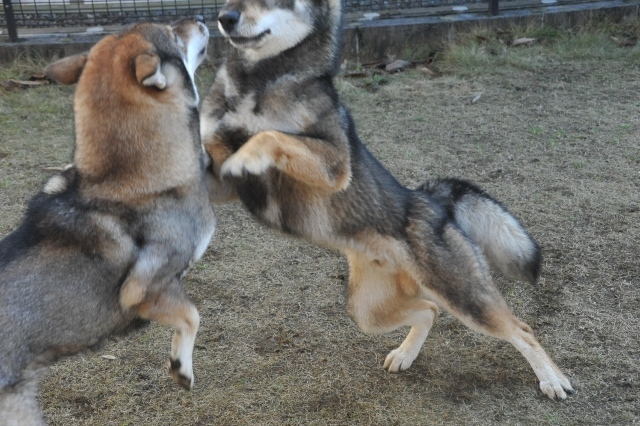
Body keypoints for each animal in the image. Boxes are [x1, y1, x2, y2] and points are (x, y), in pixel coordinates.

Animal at [0, 17, 215, 426]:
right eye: (173, 34)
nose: (201, 20)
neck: (121, 179)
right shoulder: (145, 288)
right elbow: (192, 315)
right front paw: (182, 368)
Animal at [202, 0, 572, 402]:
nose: (224, 19)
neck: (255, 83)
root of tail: (430, 199)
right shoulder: (219, 180)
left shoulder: (334, 163)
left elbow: (270, 136)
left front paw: (244, 155)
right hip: (368, 311)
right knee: (429, 311)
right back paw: (405, 355)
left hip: (464, 296)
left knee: (521, 330)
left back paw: (552, 380)